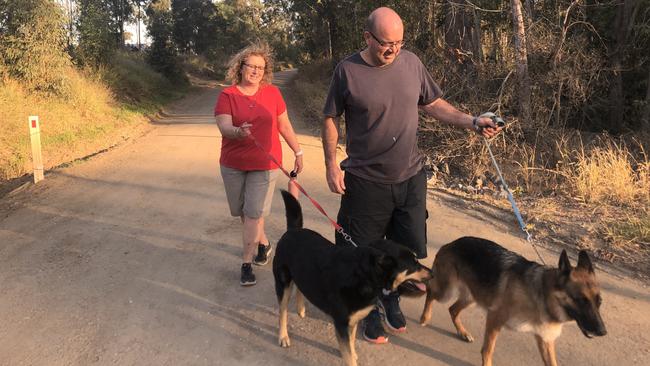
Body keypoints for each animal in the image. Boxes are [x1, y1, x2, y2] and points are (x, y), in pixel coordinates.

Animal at [274, 190, 430, 364]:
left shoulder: (353, 320)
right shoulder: (341, 324)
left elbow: (351, 342)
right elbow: (348, 355)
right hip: (282, 284)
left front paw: (353, 352)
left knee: (301, 287)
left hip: (303, 274)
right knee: (282, 312)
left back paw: (301, 309)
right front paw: (351, 357)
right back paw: (283, 336)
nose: (432, 273)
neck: (366, 277)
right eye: (414, 264)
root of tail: (293, 230)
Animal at [418, 237, 604, 366]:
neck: (542, 295)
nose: (603, 332)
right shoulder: (494, 319)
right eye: (581, 300)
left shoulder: (545, 341)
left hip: (473, 297)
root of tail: (451, 244)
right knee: (430, 291)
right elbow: (487, 350)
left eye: (599, 302)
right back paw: (425, 317)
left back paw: (462, 332)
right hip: (446, 291)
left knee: (453, 310)